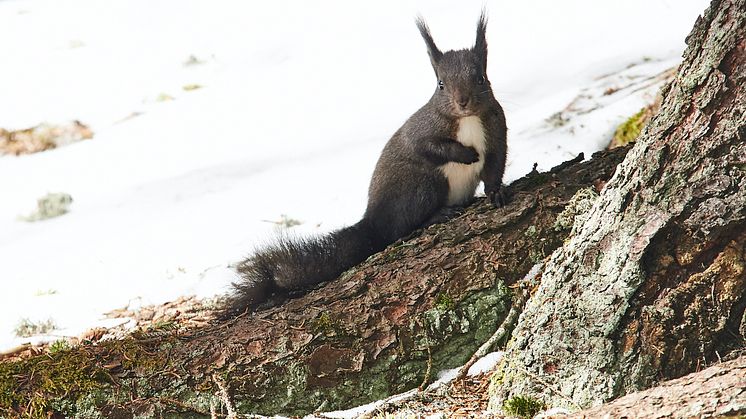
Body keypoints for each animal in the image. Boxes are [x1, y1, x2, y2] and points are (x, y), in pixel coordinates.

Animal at [215, 11, 506, 318]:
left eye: (481, 78)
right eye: (440, 84)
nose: (463, 102)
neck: (467, 120)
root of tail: (373, 220)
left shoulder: (497, 130)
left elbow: (496, 163)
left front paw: (496, 192)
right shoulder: (421, 129)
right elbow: (427, 146)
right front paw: (465, 154)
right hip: (421, 187)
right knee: (398, 230)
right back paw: (437, 215)